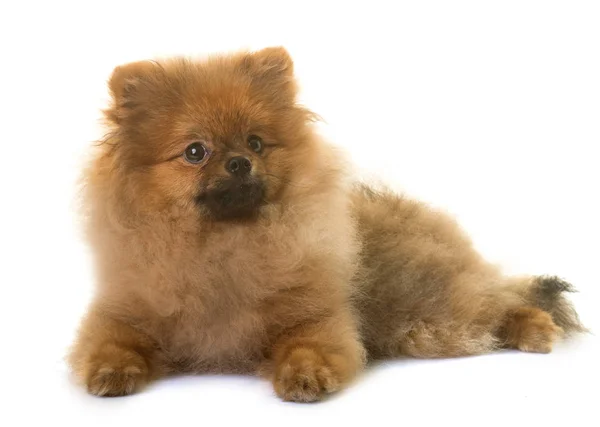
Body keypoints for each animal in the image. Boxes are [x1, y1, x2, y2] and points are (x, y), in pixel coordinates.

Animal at [68, 46, 584, 402]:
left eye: (256, 142)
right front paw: (111, 372)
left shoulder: (315, 317)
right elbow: (111, 343)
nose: (239, 162)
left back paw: (535, 330)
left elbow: (307, 346)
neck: (224, 243)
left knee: (501, 303)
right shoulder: (125, 312)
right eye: (196, 151)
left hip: (429, 313)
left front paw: (304, 376)